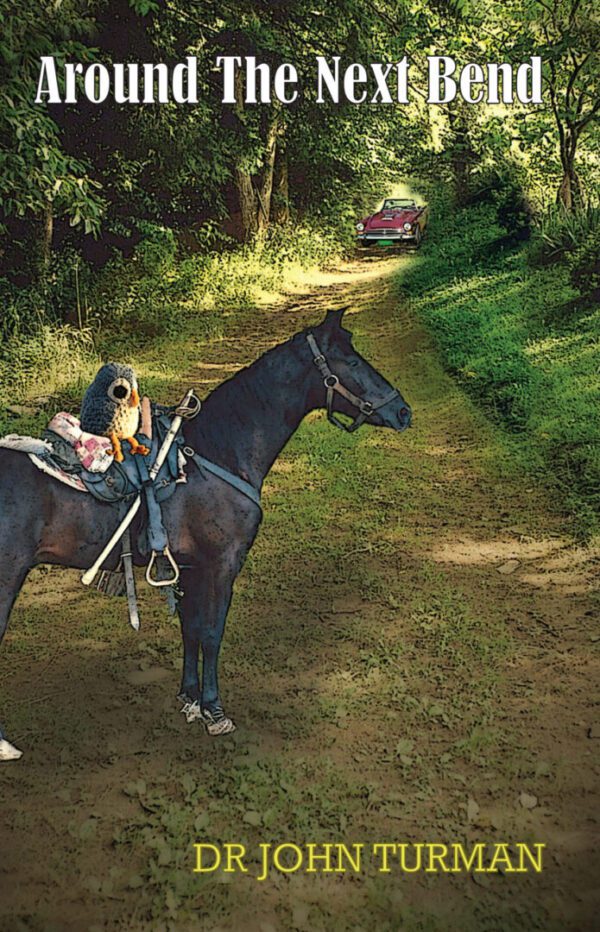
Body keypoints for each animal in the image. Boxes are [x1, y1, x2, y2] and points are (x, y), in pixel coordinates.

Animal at [0, 310, 410, 752]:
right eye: (350, 360)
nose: (403, 412)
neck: (220, 452)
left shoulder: (191, 568)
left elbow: (191, 630)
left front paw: (190, 699)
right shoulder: (221, 565)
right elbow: (212, 633)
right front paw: (214, 710)